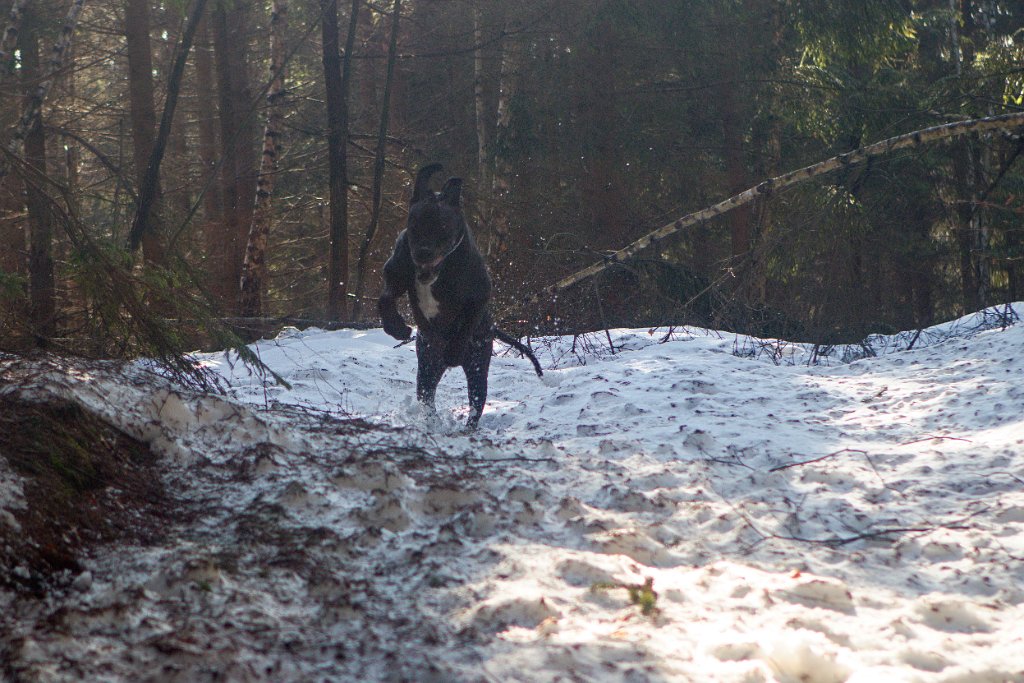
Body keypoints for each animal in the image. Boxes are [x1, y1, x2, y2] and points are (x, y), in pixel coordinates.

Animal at [374, 163, 536, 428]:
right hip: (427, 364)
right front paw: (396, 327)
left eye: (442, 226)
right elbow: (385, 299)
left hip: (478, 366)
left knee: (476, 401)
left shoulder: (479, 295)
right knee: (427, 394)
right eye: (414, 223)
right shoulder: (396, 274)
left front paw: (454, 349)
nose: (423, 252)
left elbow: (467, 320)